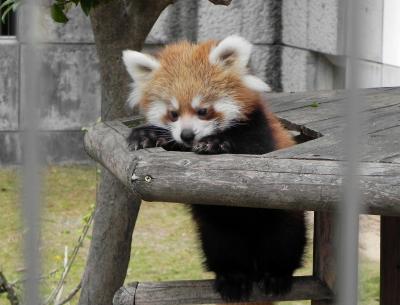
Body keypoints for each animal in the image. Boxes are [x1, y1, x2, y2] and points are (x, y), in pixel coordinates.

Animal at [122, 35, 306, 302]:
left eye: (203, 111)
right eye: (173, 114)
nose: (187, 135)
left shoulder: (261, 132)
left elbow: (254, 150)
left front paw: (215, 142)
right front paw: (145, 135)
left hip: (282, 221)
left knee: (284, 243)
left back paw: (276, 275)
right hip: (215, 232)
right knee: (223, 250)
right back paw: (233, 278)